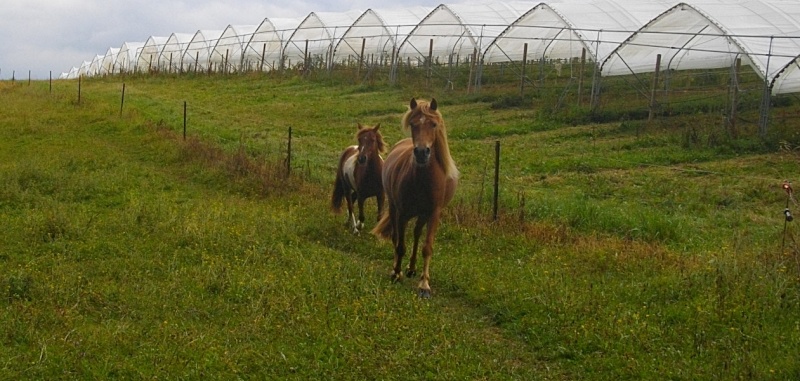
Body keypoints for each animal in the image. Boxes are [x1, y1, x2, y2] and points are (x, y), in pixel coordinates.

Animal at [372, 98, 460, 296]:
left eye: (433, 124)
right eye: (413, 124)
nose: (421, 152)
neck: (423, 179)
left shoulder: (433, 214)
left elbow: (427, 247)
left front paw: (424, 284)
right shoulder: (403, 213)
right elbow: (400, 245)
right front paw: (396, 273)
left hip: (422, 215)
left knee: (417, 234)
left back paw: (412, 269)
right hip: (395, 209)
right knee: (397, 238)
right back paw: (397, 269)